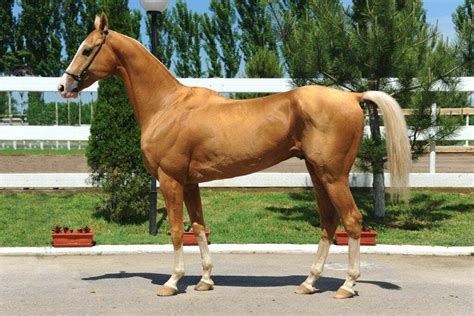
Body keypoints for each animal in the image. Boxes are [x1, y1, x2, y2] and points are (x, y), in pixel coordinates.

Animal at [58, 12, 412, 298]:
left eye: (87, 49)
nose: (63, 86)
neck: (167, 105)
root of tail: (353, 97)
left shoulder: (170, 180)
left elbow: (176, 230)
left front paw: (172, 282)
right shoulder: (190, 183)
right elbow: (198, 226)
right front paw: (205, 280)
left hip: (333, 175)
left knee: (351, 220)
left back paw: (347, 286)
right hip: (318, 174)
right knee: (328, 222)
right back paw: (309, 283)